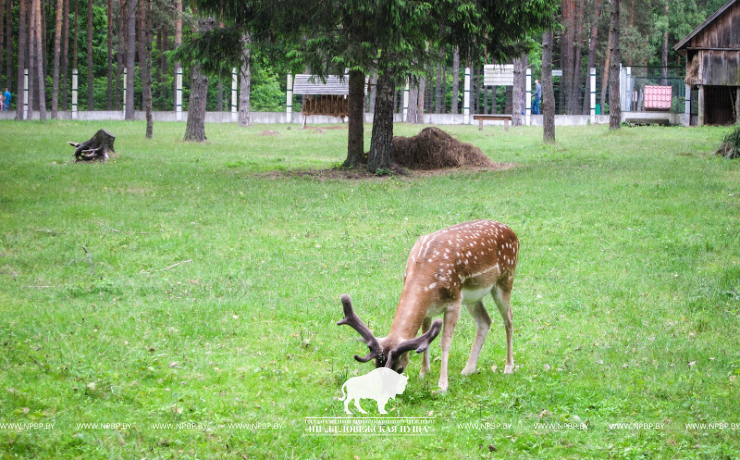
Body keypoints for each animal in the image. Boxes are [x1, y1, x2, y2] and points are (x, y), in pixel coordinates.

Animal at [338, 219, 516, 392]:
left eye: (399, 369)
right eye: (376, 366)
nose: (386, 394)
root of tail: (511, 231)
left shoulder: (454, 301)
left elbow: (445, 342)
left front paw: (442, 385)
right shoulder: (427, 310)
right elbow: (425, 337)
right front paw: (424, 373)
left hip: (506, 278)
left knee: (508, 319)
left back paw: (508, 367)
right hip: (473, 298)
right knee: (485, 321)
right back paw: (468, 369)